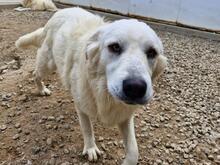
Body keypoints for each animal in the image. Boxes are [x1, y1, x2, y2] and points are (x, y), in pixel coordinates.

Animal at [15, 7, 167, 164]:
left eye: (152, 52)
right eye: (115, 47)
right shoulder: (82, 107)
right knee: (35, 74)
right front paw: (90, 148)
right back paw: (41, 89)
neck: (103, 90)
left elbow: (133, 151)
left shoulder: (124, 114)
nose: (135, 88)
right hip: (48, 64)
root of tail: (60, 11)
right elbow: (87, 128)